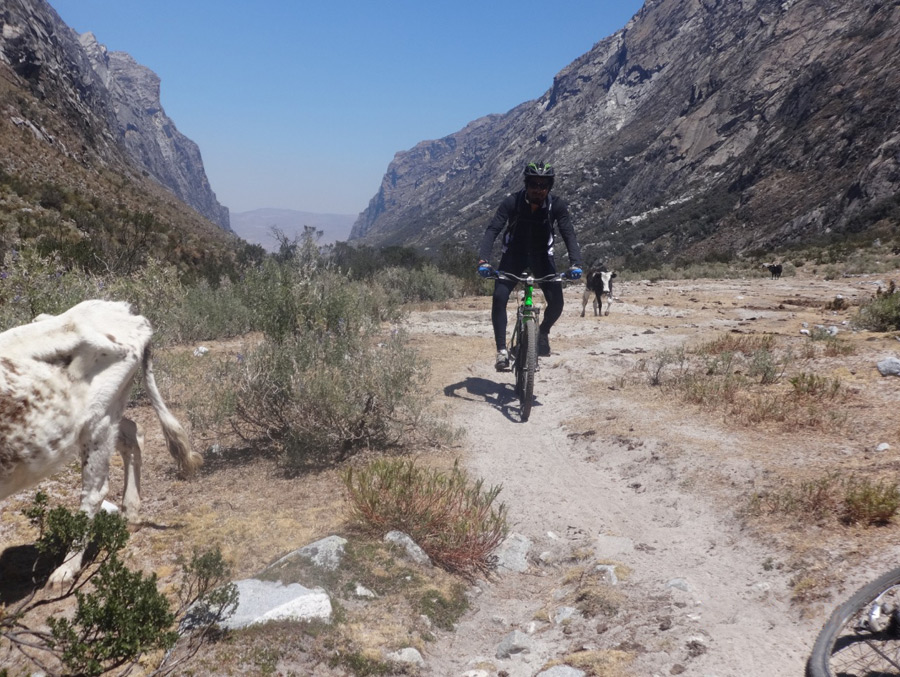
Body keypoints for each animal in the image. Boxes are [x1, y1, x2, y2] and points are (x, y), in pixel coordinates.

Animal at [0, 298, 200, 584]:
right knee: (132, 433)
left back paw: (66, 568)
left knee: (94, 491)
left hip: (98, 420)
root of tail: (128, 313)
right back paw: (130, 514)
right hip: (108, 415)